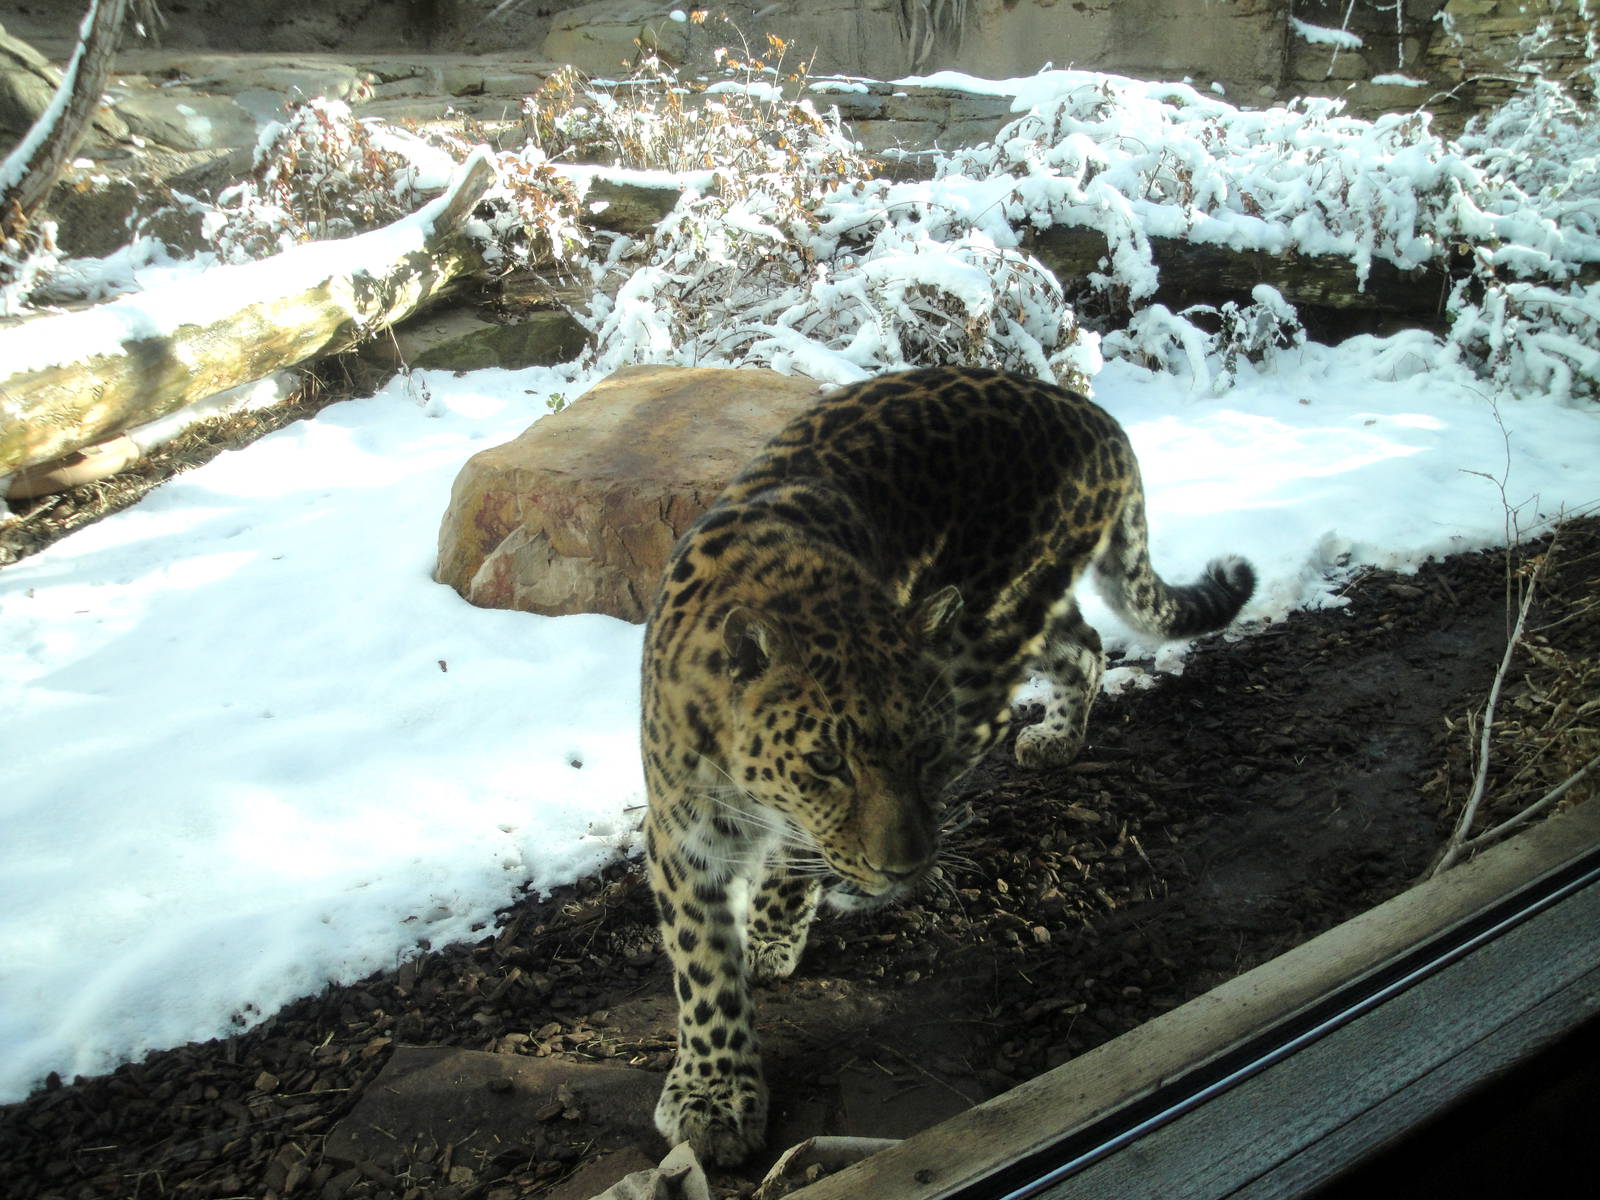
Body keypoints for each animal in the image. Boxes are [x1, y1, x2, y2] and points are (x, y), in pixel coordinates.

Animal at [638, 365, 1254, 1165]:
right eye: (826, 762)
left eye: (923, 751)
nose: (902, 868)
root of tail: (1092, 415)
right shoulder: (685, 829)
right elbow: (702, 961)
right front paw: (715, 1092)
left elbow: (798, 858)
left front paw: (783, 921)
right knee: (1084, 644)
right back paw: (1054, 737)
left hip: (987, 633)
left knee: (1035, 679)